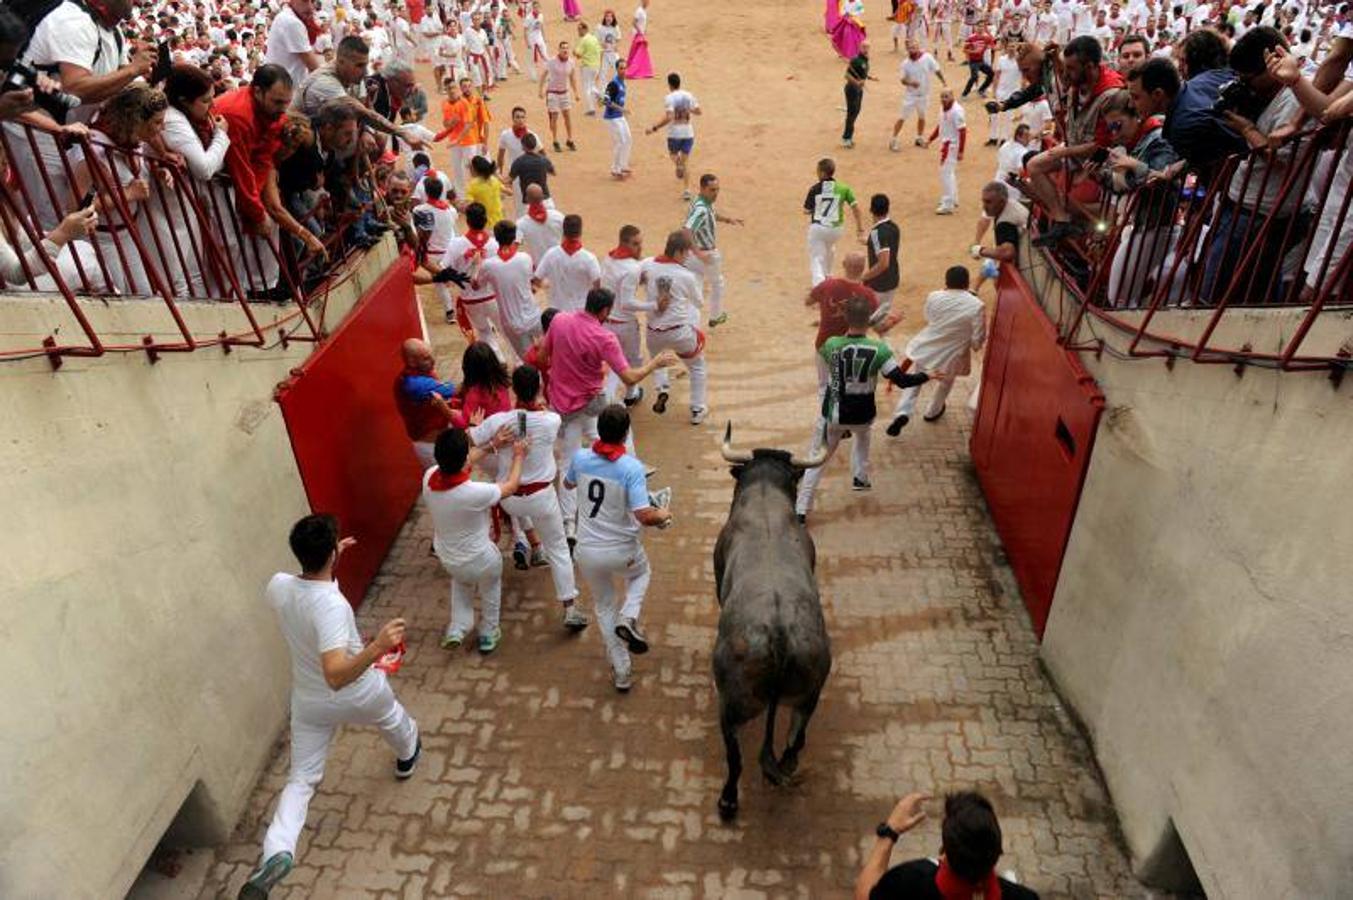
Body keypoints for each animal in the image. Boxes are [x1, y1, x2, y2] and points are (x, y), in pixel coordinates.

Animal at [714, 424, 828, 817]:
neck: (764, 495)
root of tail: (778, 636)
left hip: (733, 705)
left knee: (734, 759)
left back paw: (728, 800)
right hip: (808, 696)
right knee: (794, 741)